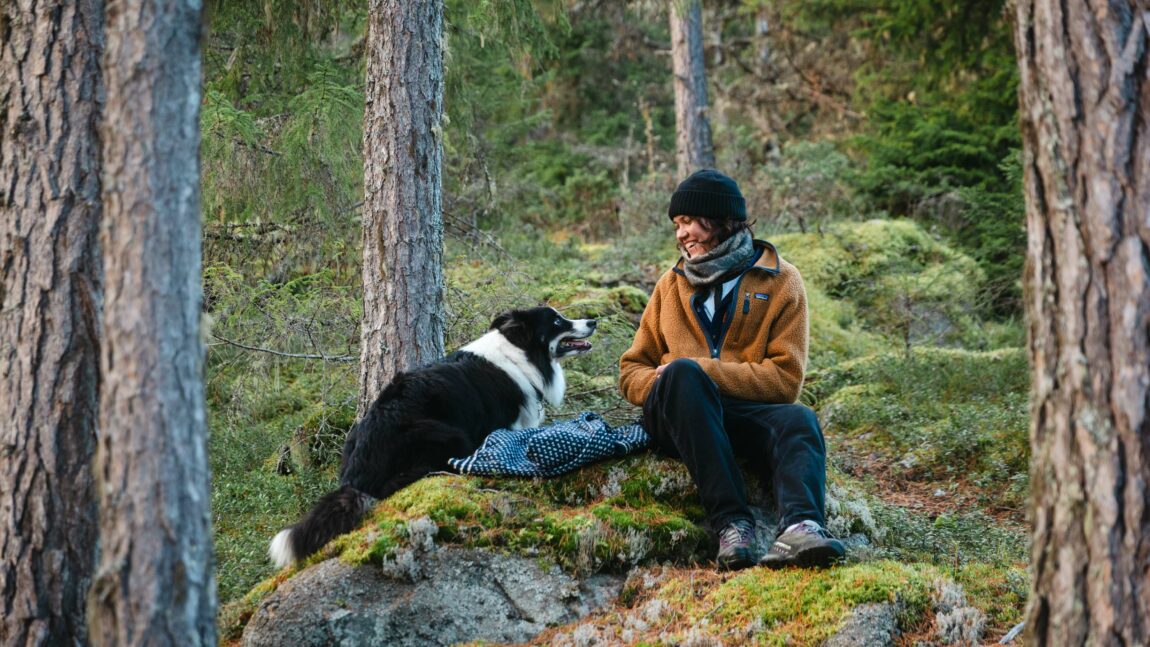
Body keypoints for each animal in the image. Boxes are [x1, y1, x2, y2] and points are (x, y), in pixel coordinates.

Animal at [265, 305, 598, 565]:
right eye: (558, 322)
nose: (593, 321)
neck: (520, 352)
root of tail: (357, 472)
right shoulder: (508, 426)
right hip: (446, 433)